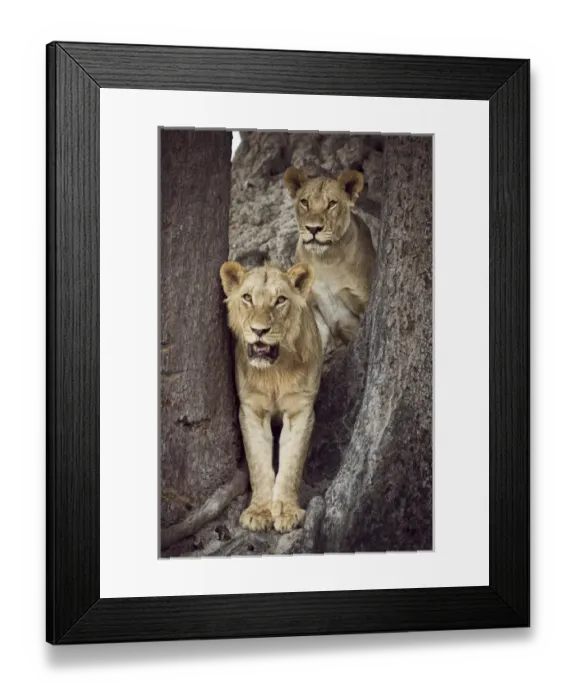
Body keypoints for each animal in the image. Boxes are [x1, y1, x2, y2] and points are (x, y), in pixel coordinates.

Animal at [219, 259, 323, 534]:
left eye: (280, 300)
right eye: (247, 297)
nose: (259, 330)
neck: (274, 372)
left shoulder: (300, 410)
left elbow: (291, 465)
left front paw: (286, 511)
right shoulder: (252, 410)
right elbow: (258, 464)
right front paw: (259, 512)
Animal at [283, 166, 376, 355]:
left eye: (332, 203)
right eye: (305, 202)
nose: (313, 229)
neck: (323, 261)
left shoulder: (362, 297)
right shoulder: (309, 300)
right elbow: (320, 332)